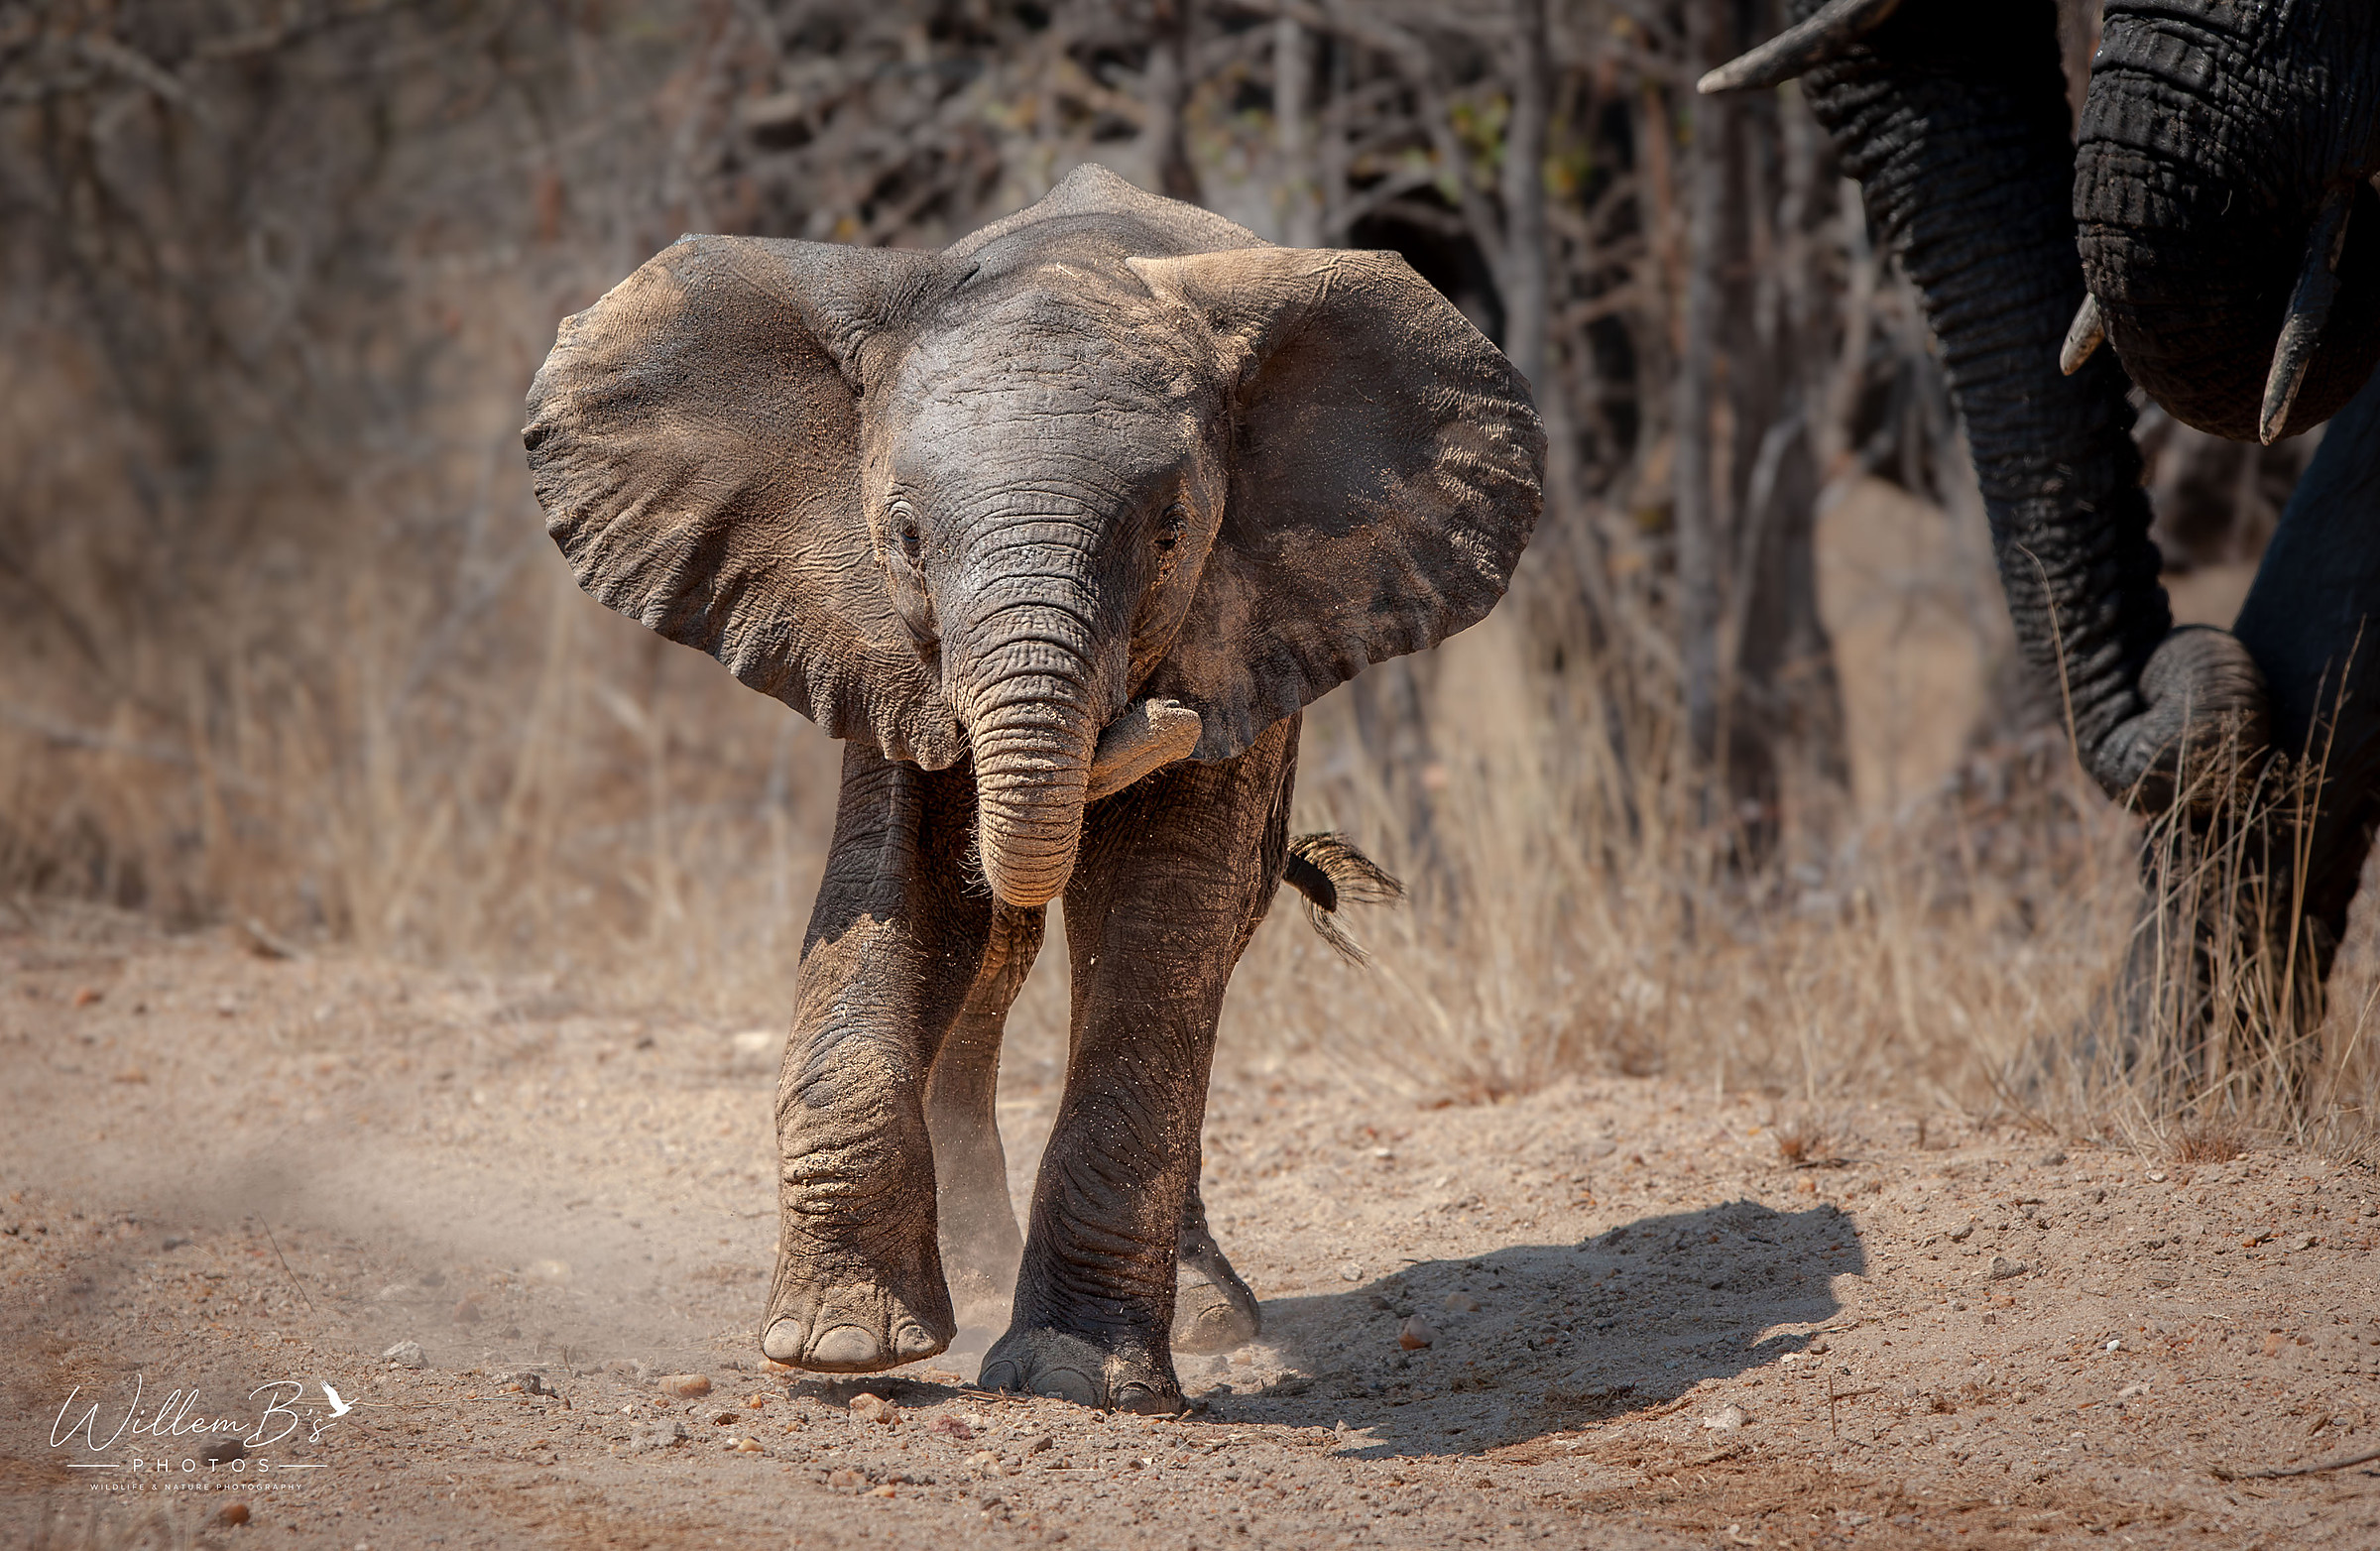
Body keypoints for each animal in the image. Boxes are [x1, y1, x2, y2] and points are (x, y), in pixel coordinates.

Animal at [521, 165, 1544, 1411]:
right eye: (905, 537)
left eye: (1172, 534)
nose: (1154, 716)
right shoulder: (867, 631)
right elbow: (893, 890)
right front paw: (838, 1347)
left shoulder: (1244, 632)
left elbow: (1161, 921)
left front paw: (1075, 1378)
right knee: (1000, 946)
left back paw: (1202, 1313)